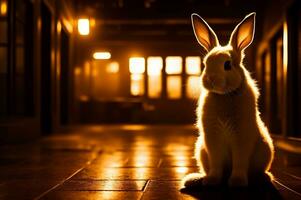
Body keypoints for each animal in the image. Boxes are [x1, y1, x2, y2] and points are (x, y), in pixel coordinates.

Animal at [182, 12, 274, 188]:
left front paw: (237, 182)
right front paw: (212, 181)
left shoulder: (242, 139)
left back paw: (264, 178)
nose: (210, 79)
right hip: (201, 150)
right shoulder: (212, 141)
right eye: (205, 64)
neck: (224, 95)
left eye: (227, 65)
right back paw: (197, 179)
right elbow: (216, 164)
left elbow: (239, 162)